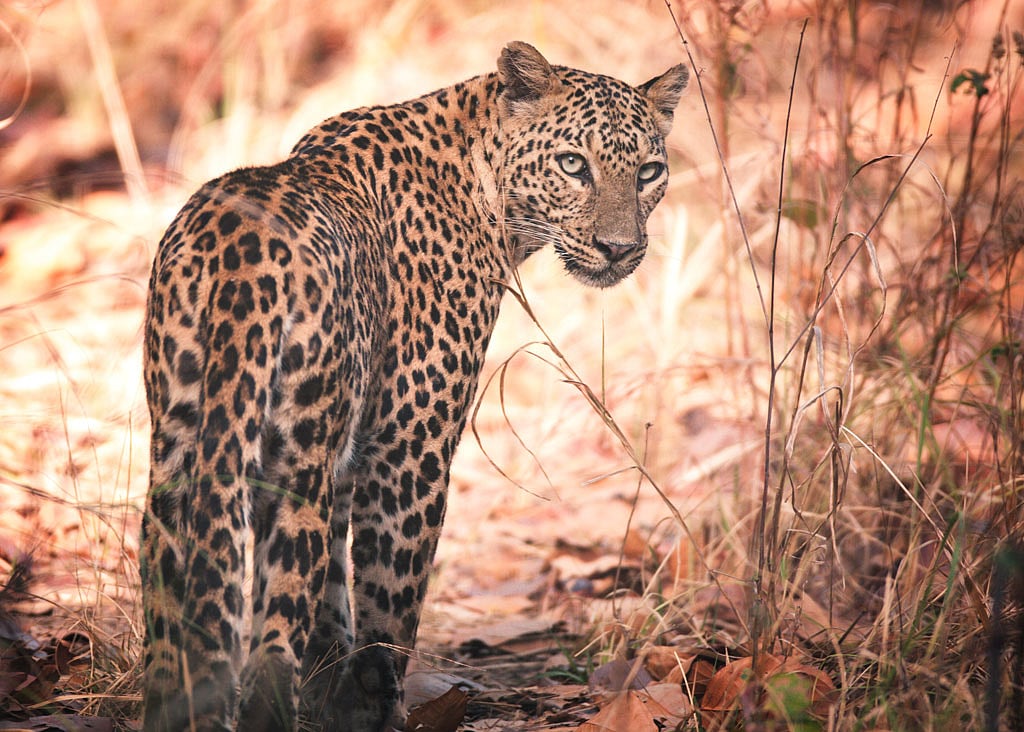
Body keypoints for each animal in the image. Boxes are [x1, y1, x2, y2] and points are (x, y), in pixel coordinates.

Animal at [140, 41, 688, 732]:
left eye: (648, 172)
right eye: (573, 164)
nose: (620, 249)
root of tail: (240, 253)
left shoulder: (350, 452)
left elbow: (336, 600)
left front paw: (334, 695)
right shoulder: (408, 449)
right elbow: (388, 606)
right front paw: (379, 709)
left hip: (178, 449)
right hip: (292, 470)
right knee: (270, 645)